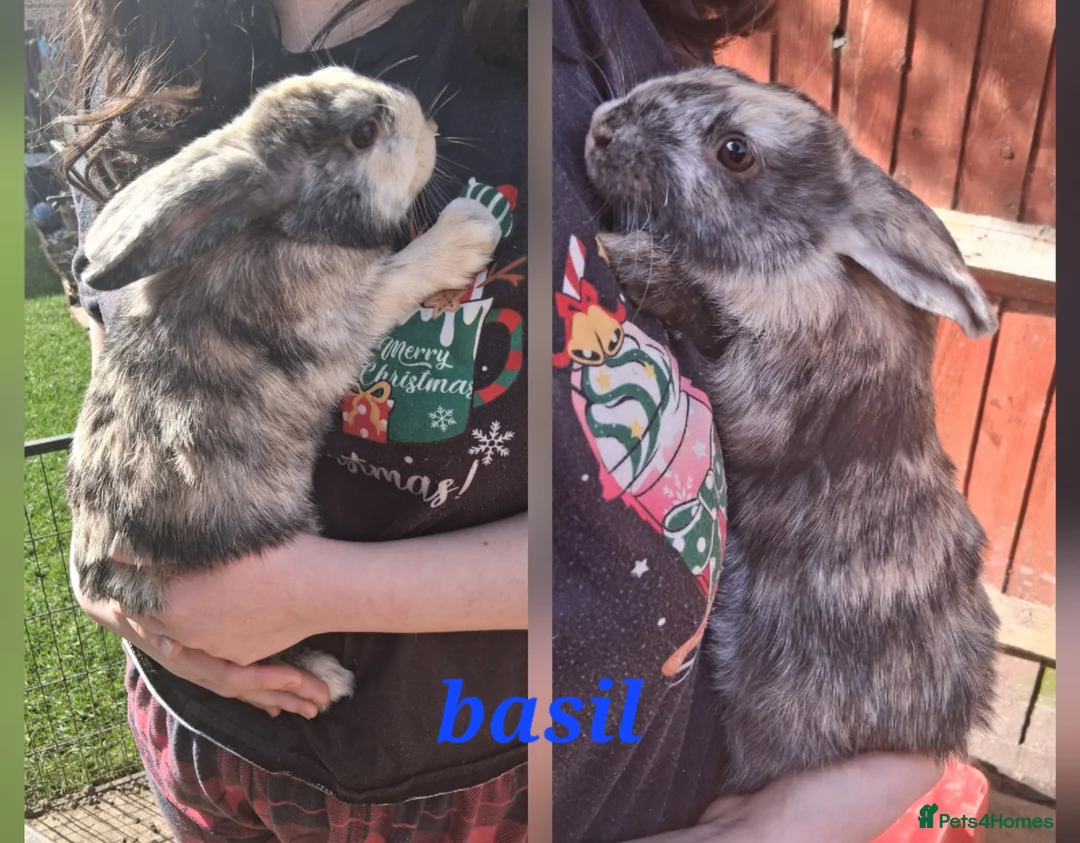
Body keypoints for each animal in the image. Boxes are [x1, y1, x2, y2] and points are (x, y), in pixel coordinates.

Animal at [66, 66, 501, 709]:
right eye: (364, 133)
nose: (427, 121)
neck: (281, 227)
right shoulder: (348, 315)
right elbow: (404, 273)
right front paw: (468, 229)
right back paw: (328, 678)